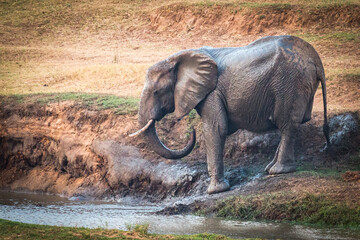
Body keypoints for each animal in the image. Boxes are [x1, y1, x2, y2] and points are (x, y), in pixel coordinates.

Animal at [129, 34, 330, 194]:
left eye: (157, 92)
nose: (191, 130)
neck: (178, 59)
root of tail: (316, 60)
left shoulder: (212, 93)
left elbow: (216, 129)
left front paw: (215, 191)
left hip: (290, 83)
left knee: (287, 124)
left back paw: (279, 171)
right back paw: (270, 168)